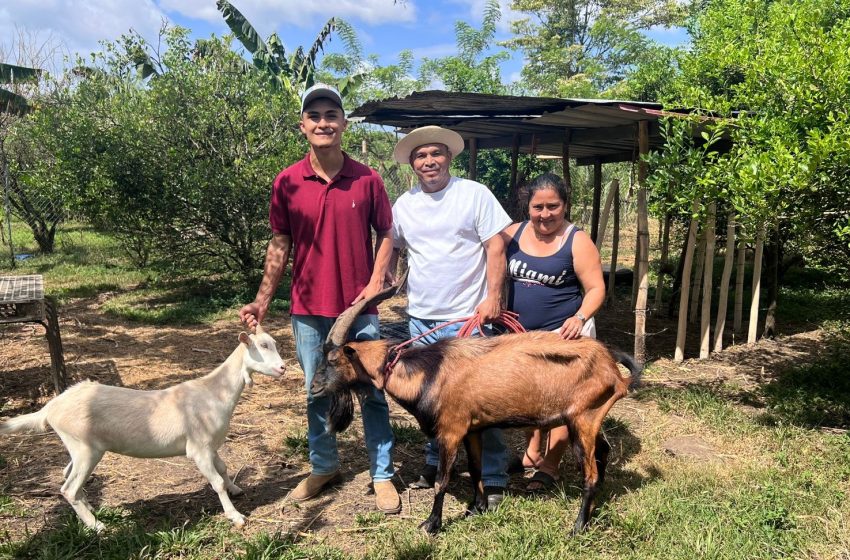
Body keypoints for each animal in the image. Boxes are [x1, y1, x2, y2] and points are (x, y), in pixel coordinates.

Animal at [0, 326, 284, 532]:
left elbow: (224, 470)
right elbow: (216, 482)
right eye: (262, 346)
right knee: (68, 488)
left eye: (273, 343)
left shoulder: (211, 445)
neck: (213, 392)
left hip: (78, 447)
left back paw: (91, 510)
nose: (283, 367)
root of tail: (51, 407)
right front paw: (236, 516)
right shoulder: (198, 448)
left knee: (67, 475)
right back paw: (97, 526)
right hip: (85, 448)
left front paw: (236, 489)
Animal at [312, 282, 636, 536]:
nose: (314, 387)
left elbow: (441, 481)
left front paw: (431, 524)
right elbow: (477, 468)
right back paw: (596, 504)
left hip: (583, 419)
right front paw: (476, 508)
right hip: (590, 418)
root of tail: (613, 368)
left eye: (333, 360)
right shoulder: (473, 429)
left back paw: (578, 526)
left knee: (589, 473)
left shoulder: (450, 431)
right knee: (604, 451)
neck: (429, 372)